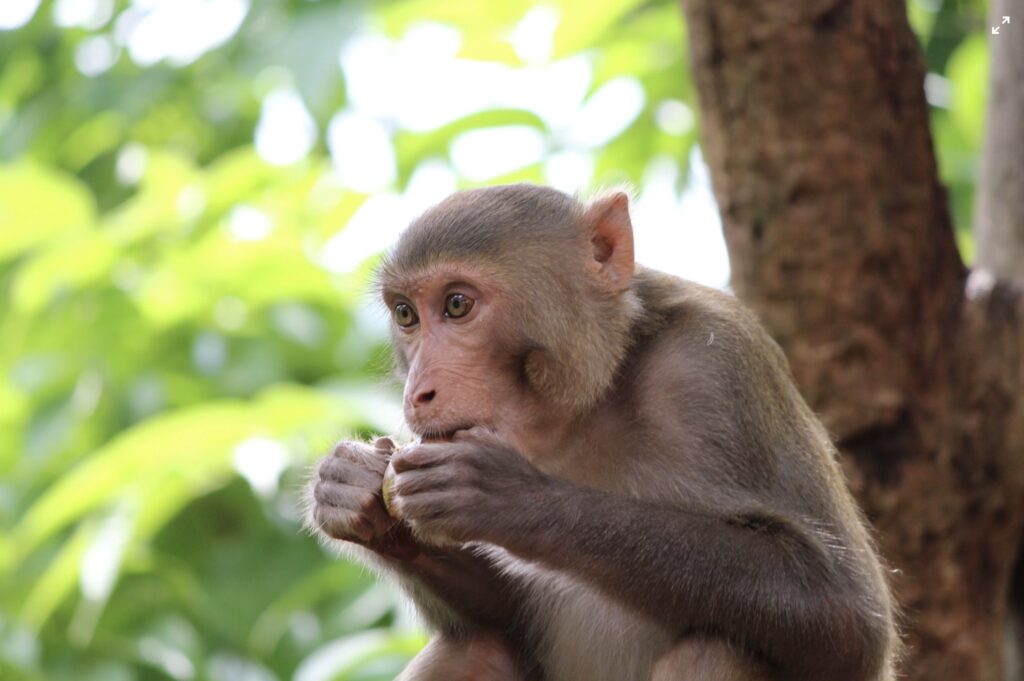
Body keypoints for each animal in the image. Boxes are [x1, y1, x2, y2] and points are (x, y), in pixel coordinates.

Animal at [307, 184, 898, 681]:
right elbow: (504, 618)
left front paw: (511, 497)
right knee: (476, 646)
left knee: (719, 647)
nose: (417, 392)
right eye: (406, 315)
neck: (593, 398)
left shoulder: (719, 366)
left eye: (457, 304)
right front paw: (356, 494)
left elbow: (849, 619)